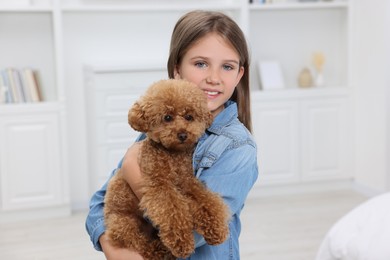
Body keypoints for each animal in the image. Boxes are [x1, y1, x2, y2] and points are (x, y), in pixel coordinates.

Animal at [104, 79, 232, 260]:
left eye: (189, 116)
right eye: (167, 117)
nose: (183, 135)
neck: (172, 155)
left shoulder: (187, 181)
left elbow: (206, 200)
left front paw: (216, 229)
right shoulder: (160, 186)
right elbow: (173, 212)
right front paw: (182, 243)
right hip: (122, 223)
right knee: (138, 243)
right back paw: (159, 250)